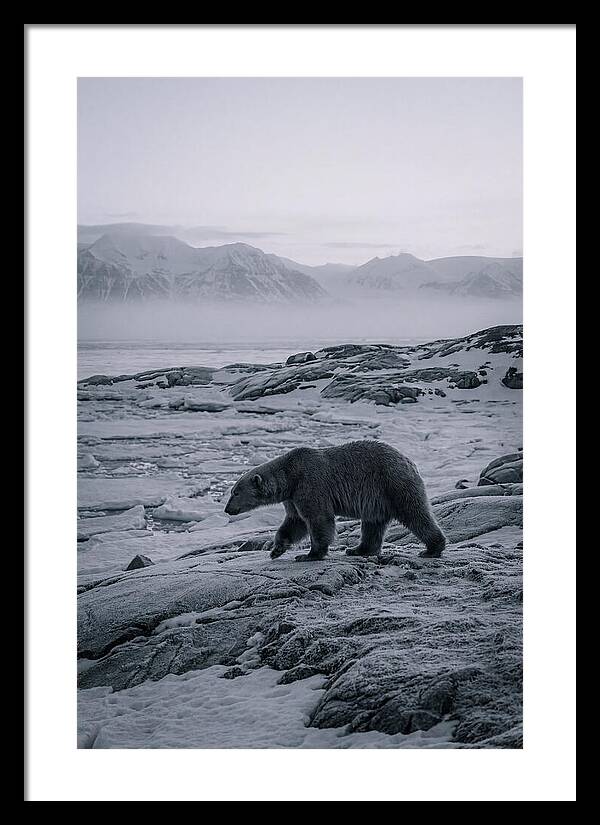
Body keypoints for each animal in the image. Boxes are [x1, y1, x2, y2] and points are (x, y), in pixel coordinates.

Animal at [224, 440, 445, 562]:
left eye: (235, 493)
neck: (290, 475)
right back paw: (357, 549)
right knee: (373, 524)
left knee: (415, 513)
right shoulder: (293, 497)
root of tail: (409, 461)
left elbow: (318, 518)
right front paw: (276, 549)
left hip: (393, 483)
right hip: (377, 499)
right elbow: (295, 522)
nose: (227, 509)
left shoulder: (310, 483)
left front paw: (309, 554)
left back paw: (432, 548)